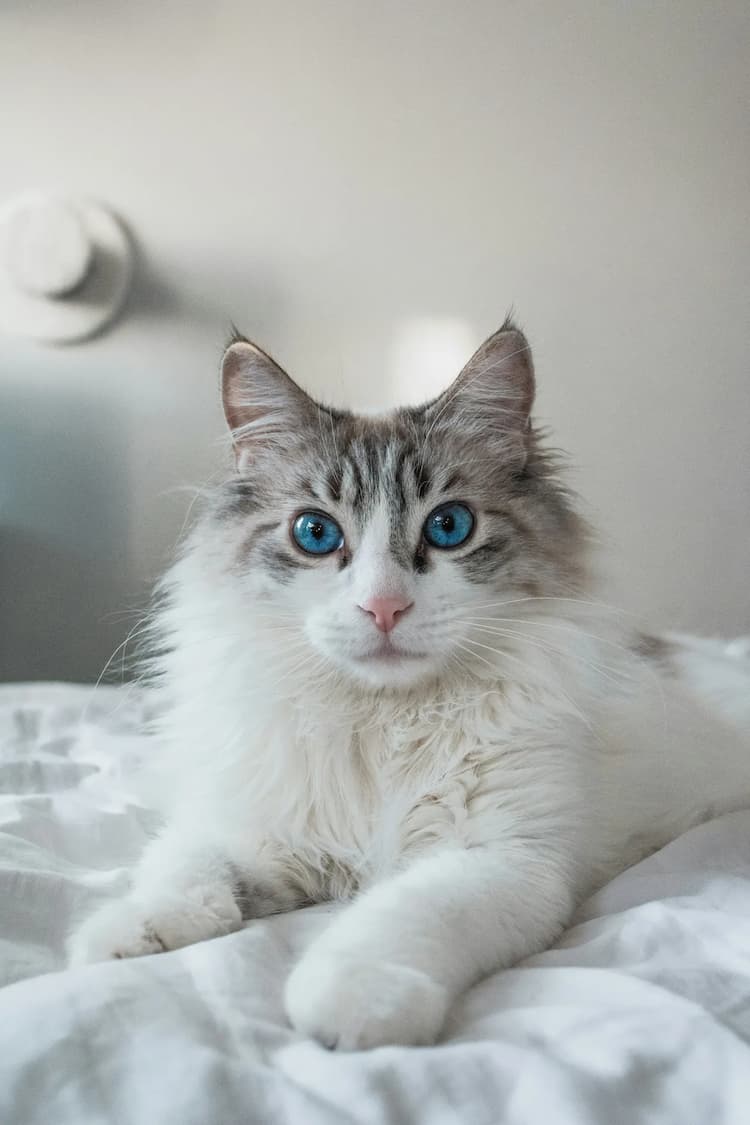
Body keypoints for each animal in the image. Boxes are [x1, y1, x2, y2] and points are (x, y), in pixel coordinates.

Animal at [68, 321, 750, 1048]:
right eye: (315, 533)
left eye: (449, 526)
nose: (384, 608)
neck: (383, 720)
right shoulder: (257, 827)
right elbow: (181, 867)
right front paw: (123, 935)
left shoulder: (502, 857)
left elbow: (392, 919)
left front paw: (349, 1003)